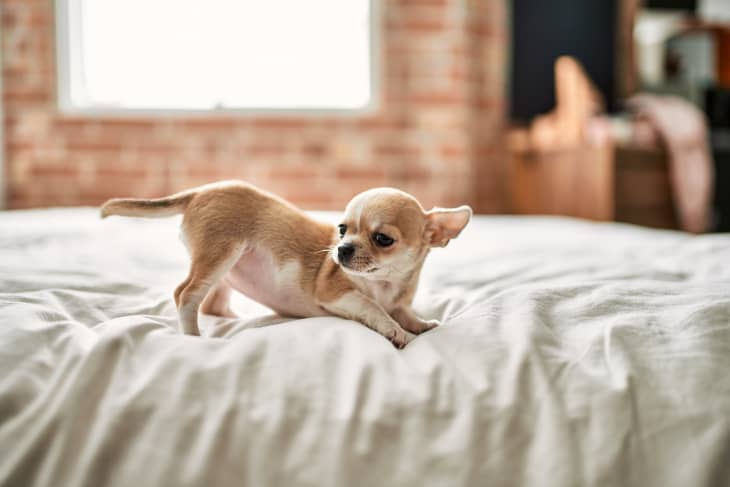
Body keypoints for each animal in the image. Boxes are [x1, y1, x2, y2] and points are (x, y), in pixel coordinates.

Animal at [99, 181, 470, 348]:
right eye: (342, 229)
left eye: (382, 239)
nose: (342, 250)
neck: (386, 283)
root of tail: (200, 191)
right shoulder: (336, 293)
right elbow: (374, 308)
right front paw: (397, 332)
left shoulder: (399, 300)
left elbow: (405, 312)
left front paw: (422, 325)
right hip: (220, 253)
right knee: (186, 294)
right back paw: (194, 336)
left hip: (226, 270)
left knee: (213, 304)